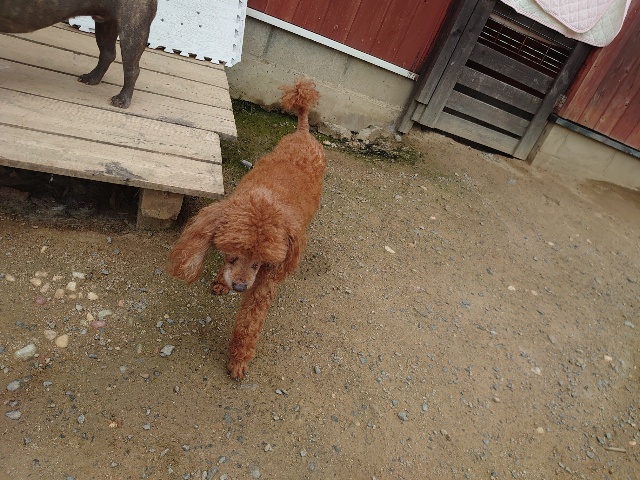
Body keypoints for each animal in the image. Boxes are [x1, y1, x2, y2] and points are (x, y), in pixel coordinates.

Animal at [0, 0, 157, 107]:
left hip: (132, 28)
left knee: (132, 68)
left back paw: (123, 98)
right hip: (106, 23)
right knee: (107, 53)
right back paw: (93, 77)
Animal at [168, 79, 326, 380]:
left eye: (262, 261)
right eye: (233, 254)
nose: (240, 286)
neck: (266, 198)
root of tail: (303, 131)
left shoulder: (266, 281)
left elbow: (249, 323)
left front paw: (239, 359)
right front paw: (220, 281)